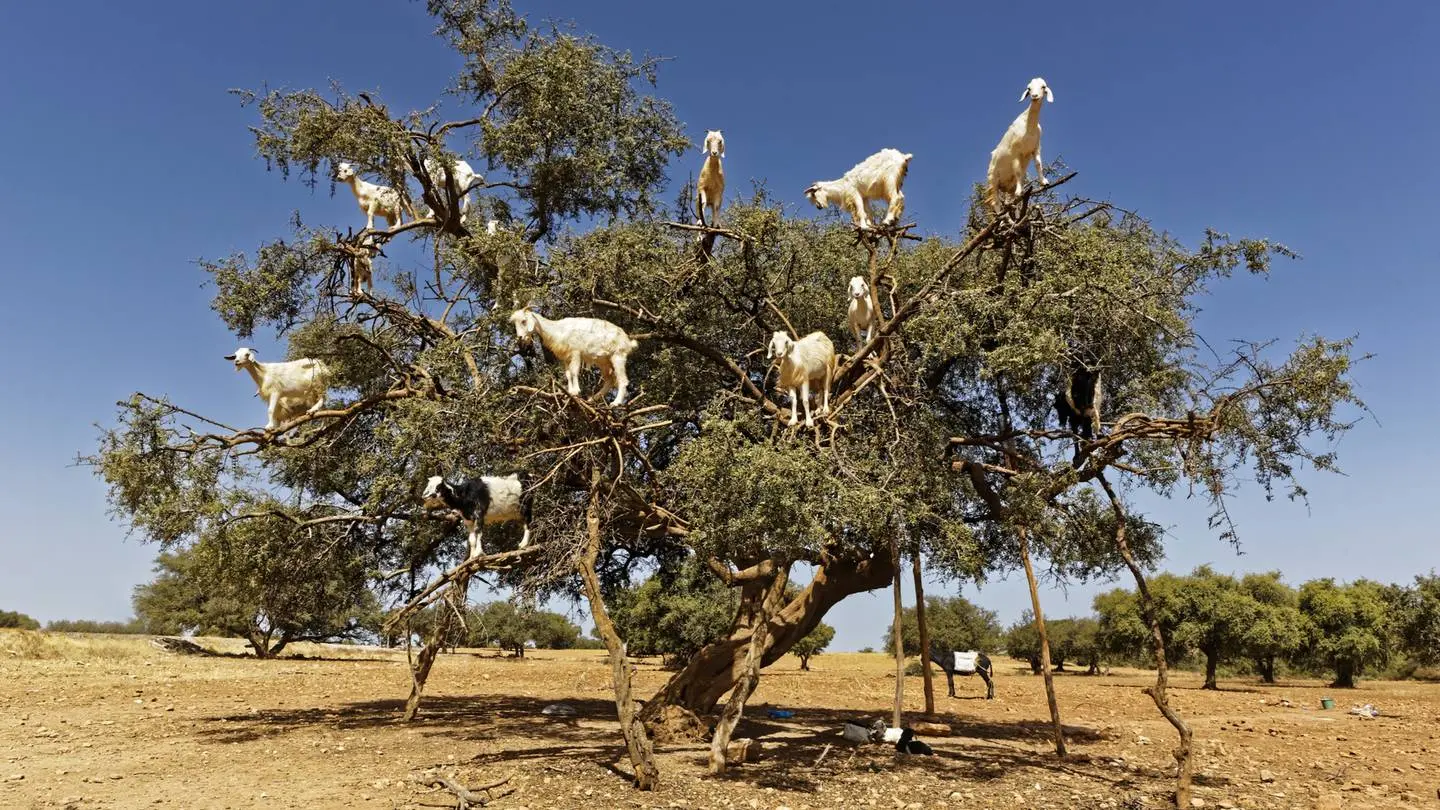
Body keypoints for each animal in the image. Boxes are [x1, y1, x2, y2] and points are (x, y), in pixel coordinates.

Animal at [509, 309, 639, 407]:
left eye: (524, 321)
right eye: (515, 323)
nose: (520, 337)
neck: (558, 329)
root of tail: (628, 342)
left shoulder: (576, 353)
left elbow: (574, 372)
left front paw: (576, 392)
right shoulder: (566, 358)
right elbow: (568, 374)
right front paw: (570, 392)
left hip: (618, 356)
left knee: (622, 380)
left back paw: (615, 403)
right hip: (604, 362)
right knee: (609, 380)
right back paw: (592, 399)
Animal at [986, 77, 1053, 215]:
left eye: (1043, 87)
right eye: (1029, 88)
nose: (1034, 96)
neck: (1028, 127)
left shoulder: (1036, 148)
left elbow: (1038, 164)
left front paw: (1044, 182)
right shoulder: (1016, 152)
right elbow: (1017, 170)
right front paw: (1020, 191)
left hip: (1009, 185)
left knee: (1012, 202)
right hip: (993, 181)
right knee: (996, 202)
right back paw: (1001, 218)